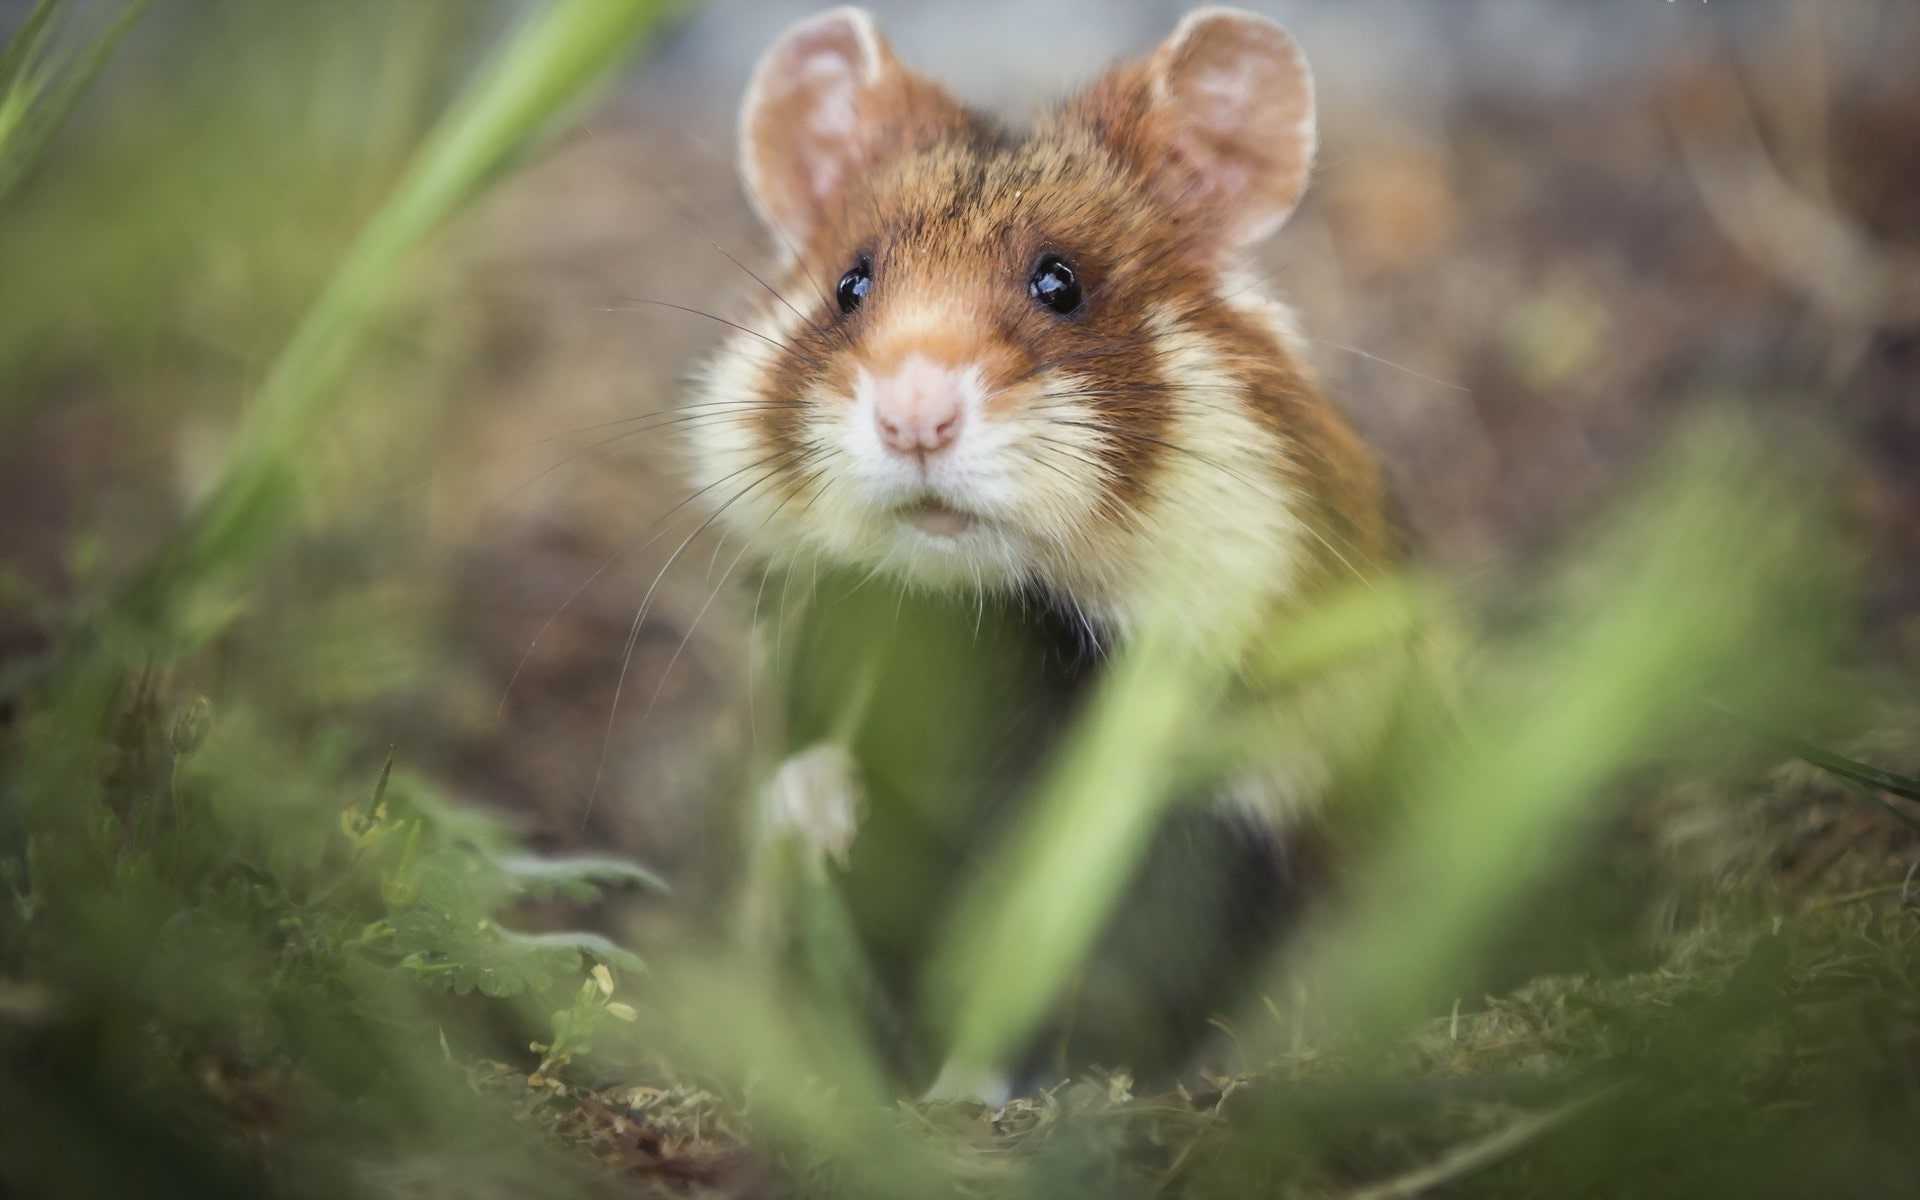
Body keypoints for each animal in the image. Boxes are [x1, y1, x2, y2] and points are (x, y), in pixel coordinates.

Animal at [686, 6, 1398, 1097]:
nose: (915, 416)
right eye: (849, 284)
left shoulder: (1204, 833)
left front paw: (964, 1098)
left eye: (1061, 283)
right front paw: (820, 805)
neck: (976, 627)